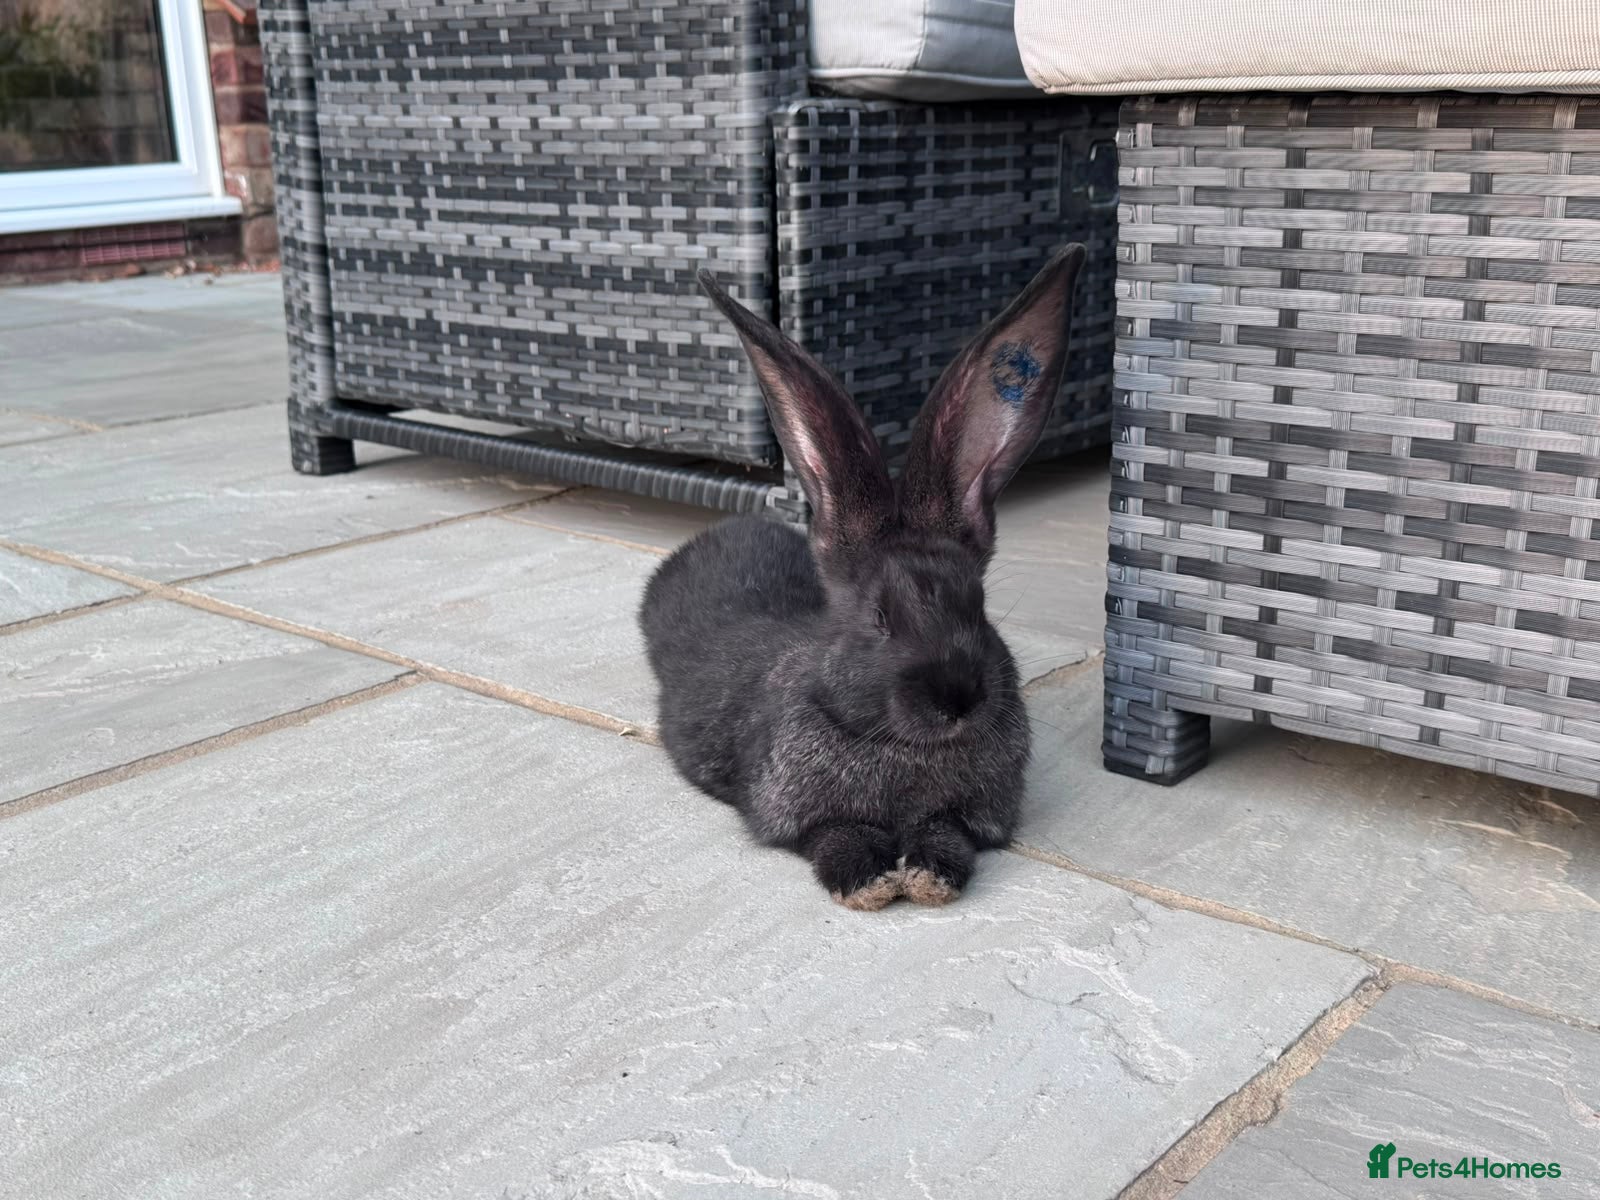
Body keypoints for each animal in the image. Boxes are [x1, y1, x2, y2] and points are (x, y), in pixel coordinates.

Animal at [640, 245, 1086, 910]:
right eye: (878, 618)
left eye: (978, 606)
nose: (957, 700)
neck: (905, 751)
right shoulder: (794, 814)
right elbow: (837, 833)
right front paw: (870, 883)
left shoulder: (969, 819)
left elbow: (947, 833)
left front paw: (927, 876)